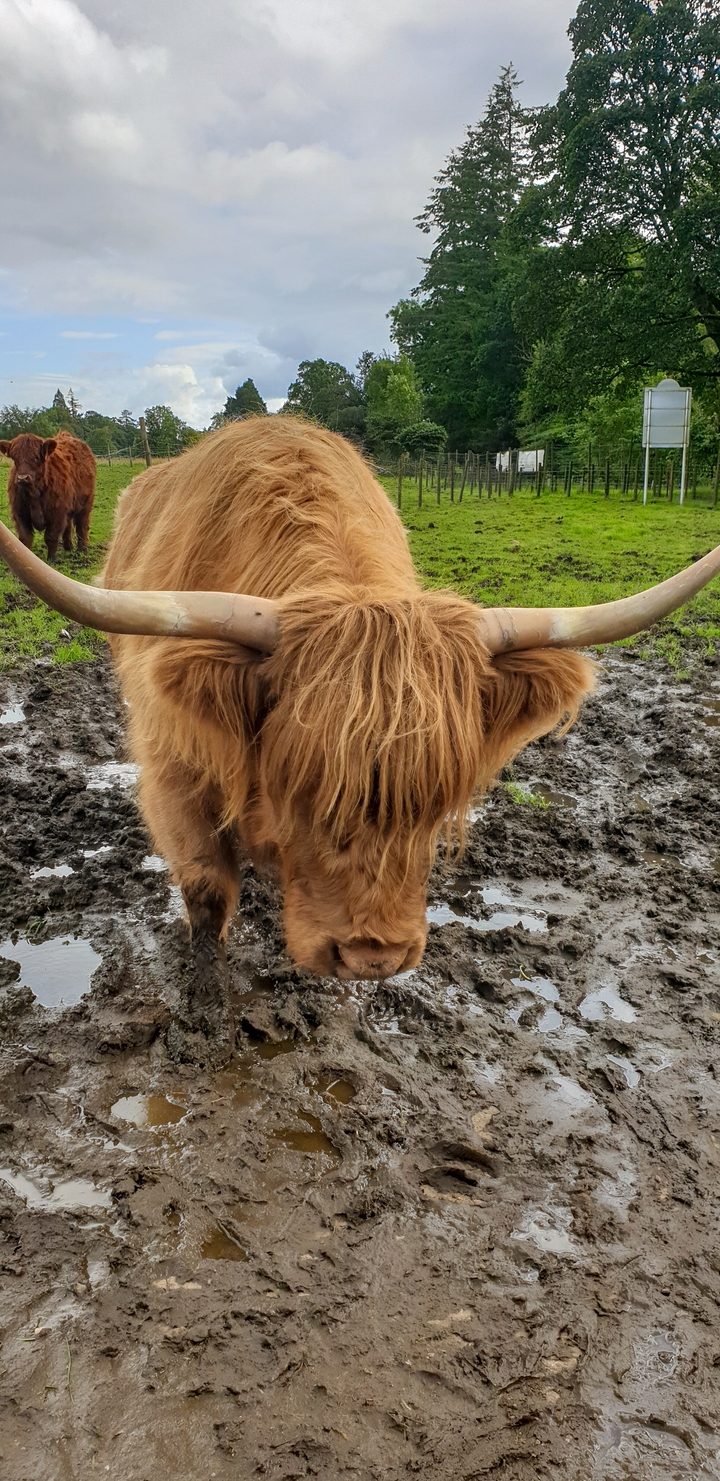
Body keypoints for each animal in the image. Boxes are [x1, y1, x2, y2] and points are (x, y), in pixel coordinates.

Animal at [0, 430, 96, 562]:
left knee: (82, 526)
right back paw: (68, 548)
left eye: (36, 457)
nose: (22, 478)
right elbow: (25, 538)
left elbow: (51, 537)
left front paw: (52, 560)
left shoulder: (57, 513)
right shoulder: (20, 513)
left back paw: (82, 551)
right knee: (68, 526)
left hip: (86, 504)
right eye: (15, 458)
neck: (33, 494)